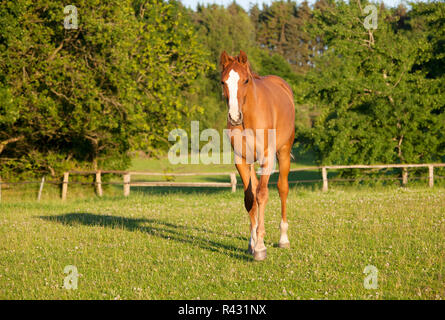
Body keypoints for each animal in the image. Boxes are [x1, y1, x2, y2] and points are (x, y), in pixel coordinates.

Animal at [219, 49, 294, 260]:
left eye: (245, 80)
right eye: (223, 81)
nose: (234, 117)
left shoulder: (267, 159)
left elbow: (261, 195)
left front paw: (260, 246)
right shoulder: (242, 161)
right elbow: (249, 198)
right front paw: (252, 244)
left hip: (283, 152)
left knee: (282, 189)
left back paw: (283, 239)